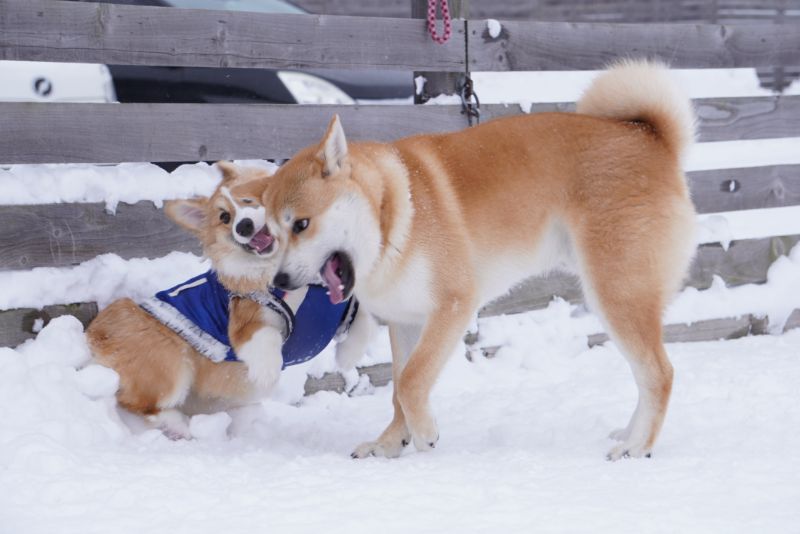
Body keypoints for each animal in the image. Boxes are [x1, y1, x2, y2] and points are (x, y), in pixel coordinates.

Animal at [87, 164, 376, 440]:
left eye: (249, 199)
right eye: (225, 218)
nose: (243, 226)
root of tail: (94, 335)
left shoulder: (344, 307)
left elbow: (365, 316)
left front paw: (349, 355)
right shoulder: (247, 322)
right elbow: (265, 337)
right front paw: (268, 373)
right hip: (171, 363)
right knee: (135, 402)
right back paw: (178, 426)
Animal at [266, 59, 696, 460]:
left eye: (301, 224)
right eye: (270, 232)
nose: (280, 283)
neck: (394, 219)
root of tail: (650, 137)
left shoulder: (453, 305)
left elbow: (411, 381)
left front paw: (424, 434)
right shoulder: (406, 321)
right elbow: (399, 388)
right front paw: (389, 444)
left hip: (616, 294)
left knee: (660, 374)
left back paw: (637, 447)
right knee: (647, 374)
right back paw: (630, 435)